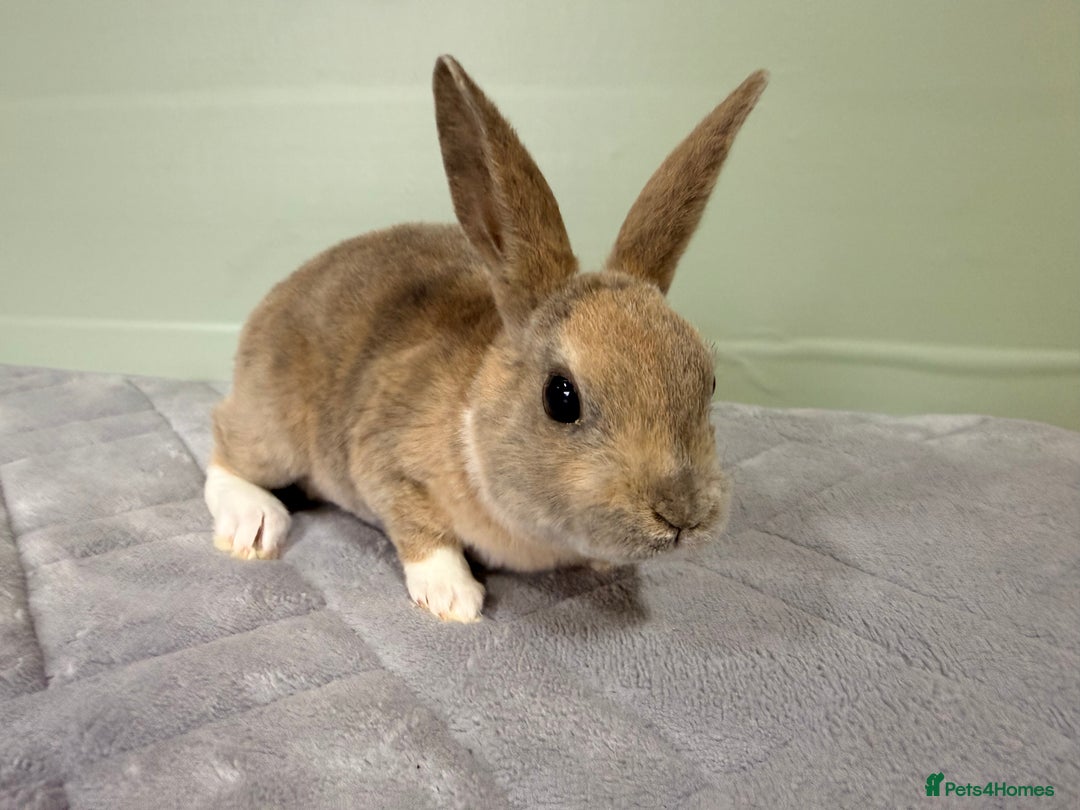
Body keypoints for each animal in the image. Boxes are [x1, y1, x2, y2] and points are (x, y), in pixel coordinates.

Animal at [204, 55, 768, 622]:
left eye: (710, 383)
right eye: (561, 397)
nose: (682, 516)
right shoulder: (382, 463)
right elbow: (422, 531)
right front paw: (453, 599)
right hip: (275, 429)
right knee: (225, 449)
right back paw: (253, 526)